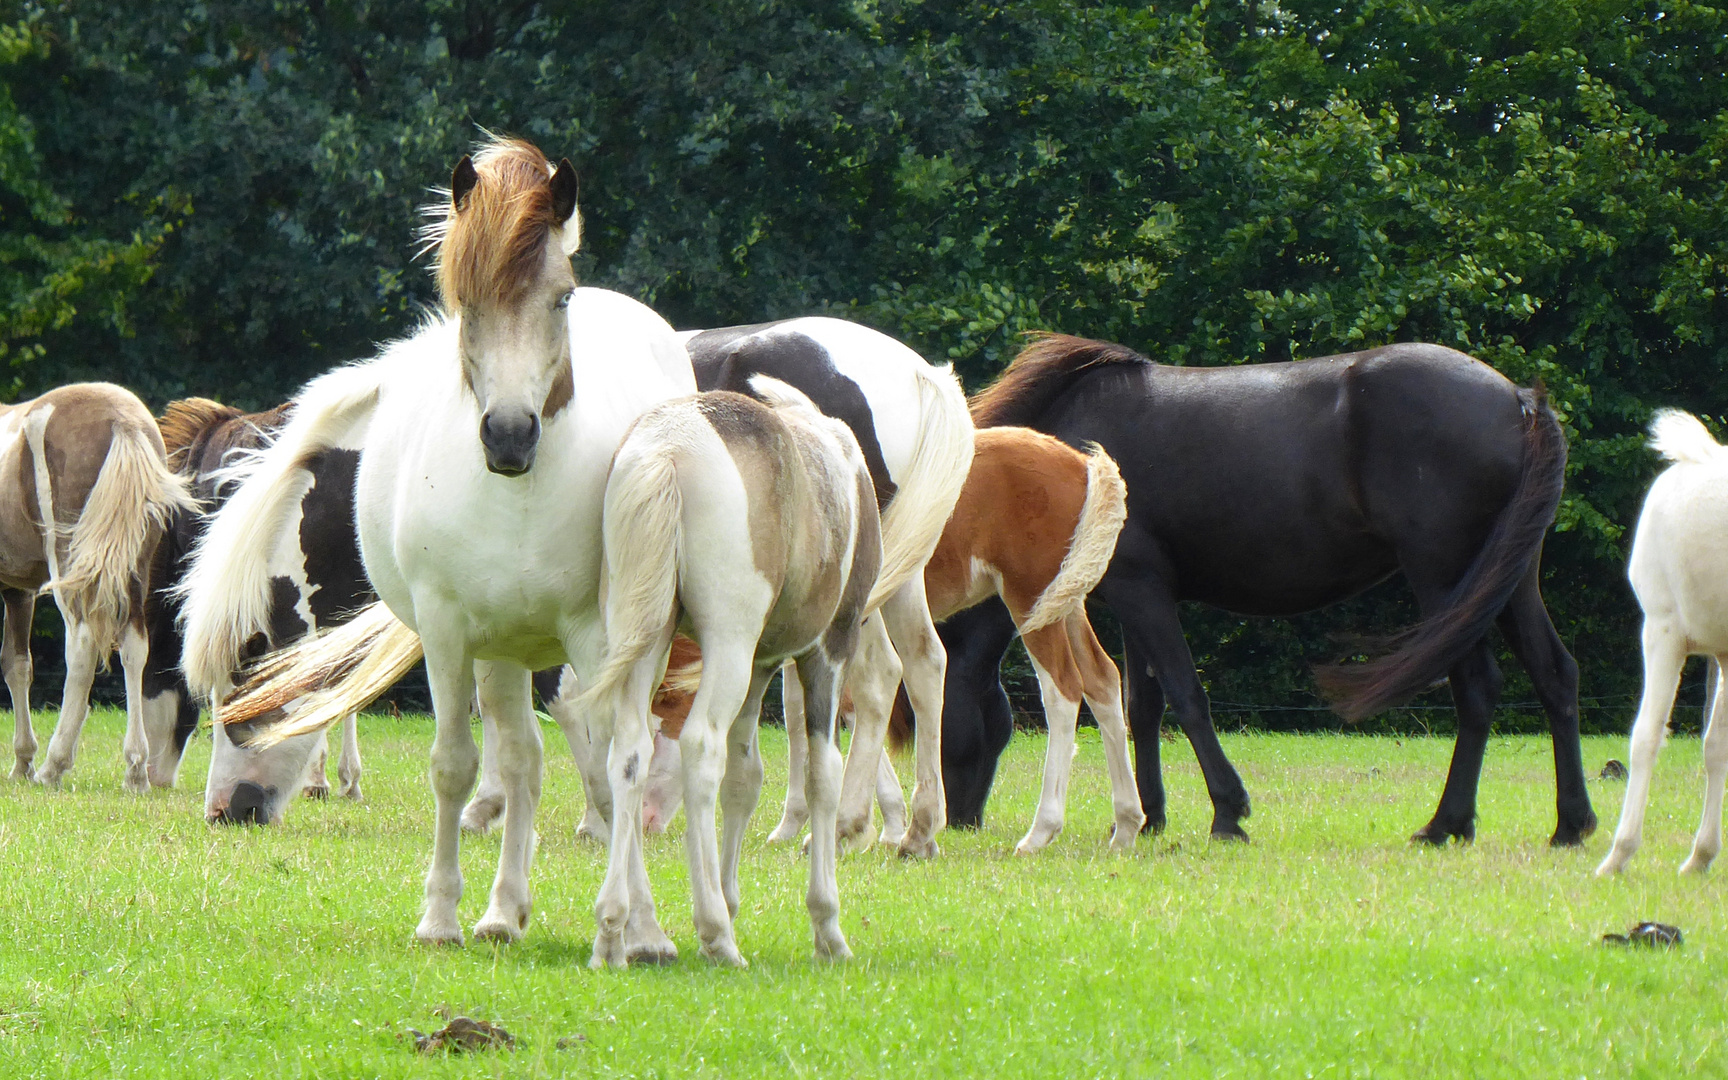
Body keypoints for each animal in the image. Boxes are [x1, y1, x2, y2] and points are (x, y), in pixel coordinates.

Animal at [0, 383, 196, 787]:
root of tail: (123, 420)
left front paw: (28, 763)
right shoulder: (19, 590)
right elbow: (18, 664)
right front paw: (22, 762)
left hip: (70, 566)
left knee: (82, 645)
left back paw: (54, 766)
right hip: (134, 572)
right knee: (134, 647)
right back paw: (135, 769)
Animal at [953, 333, 1596, 846]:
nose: (960, 820)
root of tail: (1517, 400)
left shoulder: (1143, 595)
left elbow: (1187, 696)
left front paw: (1227, 812)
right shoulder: (1135, 602)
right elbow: (1143, 706)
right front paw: (1148, 818)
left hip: (1444, 582)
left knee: (1478, 689)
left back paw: (1446, 824)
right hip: (1509, 582)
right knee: (1555, 675)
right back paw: (1570, 824)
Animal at [1596, 412, 1728, 877]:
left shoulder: (1662, 631)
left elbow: (1645, 736)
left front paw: (1619, 853)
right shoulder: (1724, 653)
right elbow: (1715, 746)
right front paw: (1701, 856)